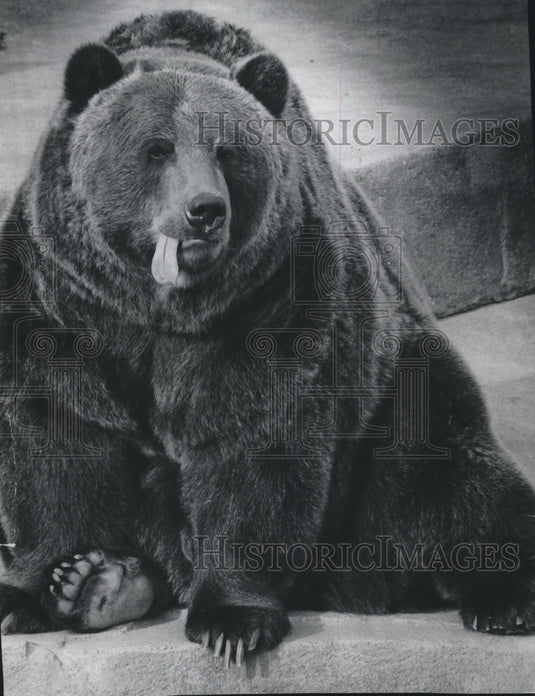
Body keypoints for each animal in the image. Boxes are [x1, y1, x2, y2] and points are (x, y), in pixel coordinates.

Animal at [1, 9, 535, 666]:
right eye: (156, 148)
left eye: (228, 150)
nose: (205, 210)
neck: (161, 303)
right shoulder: (62, 302)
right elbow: (58, 436)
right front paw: (44, 583)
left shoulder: (272, 302)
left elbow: (255, 448)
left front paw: (232, 621)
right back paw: (105, 584)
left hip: (397, 397)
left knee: (454, 471)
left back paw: (505, 599)